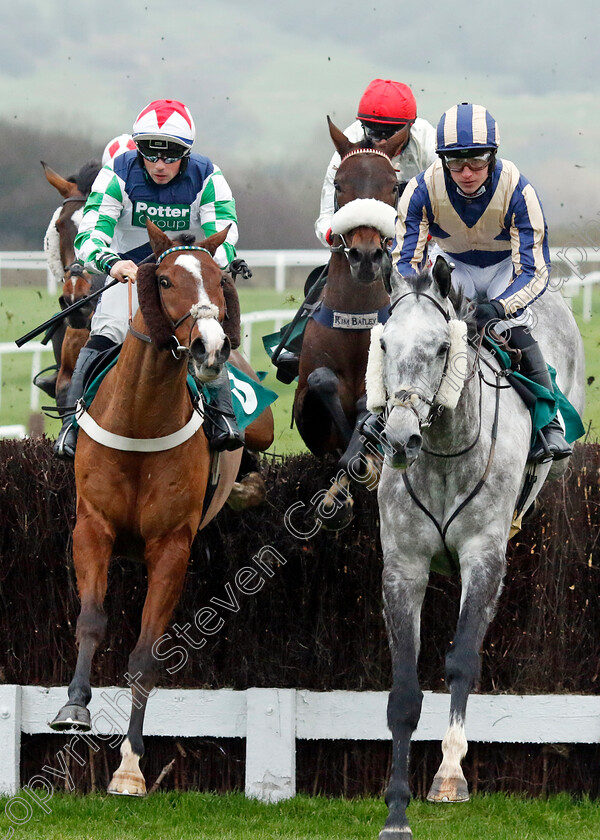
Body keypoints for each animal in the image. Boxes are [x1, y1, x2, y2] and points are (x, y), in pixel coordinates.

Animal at [48, 218, 252, 796]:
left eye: (218, 279)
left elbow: (144, 655)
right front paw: (74, 707)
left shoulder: (171, 546)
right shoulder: (92, 527)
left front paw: (130, 766)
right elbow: (92, 619)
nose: (210, 347)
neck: (141, 418)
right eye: (163, 280)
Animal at [368, 260, 584, 836]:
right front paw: (396, 810)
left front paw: (449, 775)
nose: (400, 438)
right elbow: (403, 693)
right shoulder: (403, 567)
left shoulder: (483, 558)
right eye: (383, 343)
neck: (444, 454)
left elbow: (463, 661)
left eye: (443, 346)